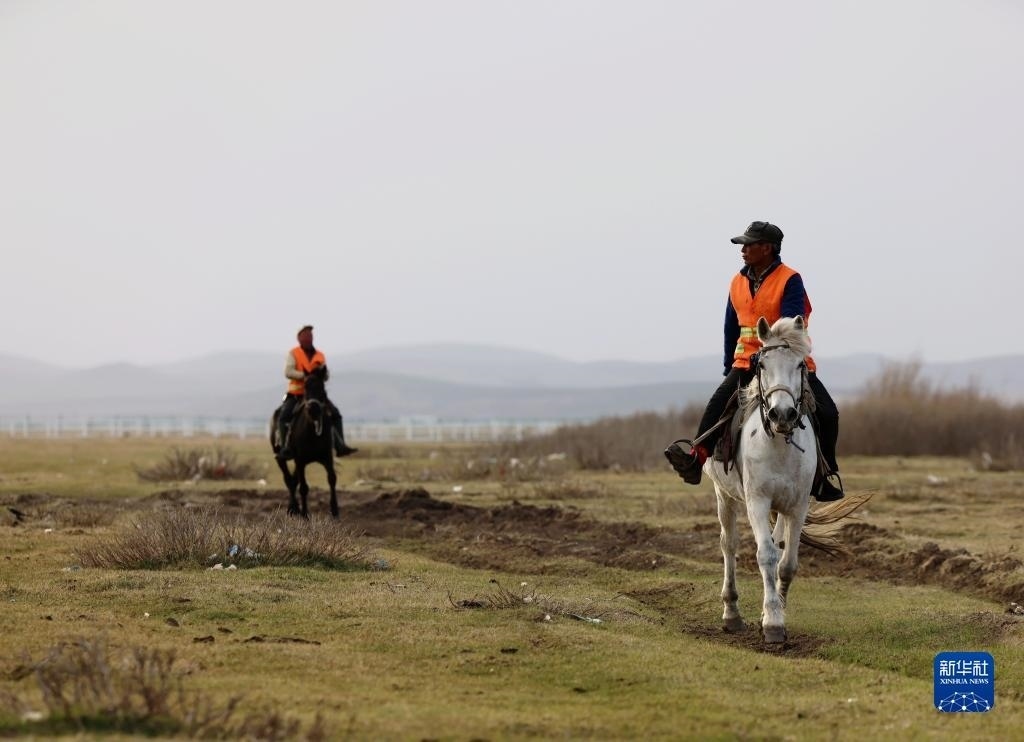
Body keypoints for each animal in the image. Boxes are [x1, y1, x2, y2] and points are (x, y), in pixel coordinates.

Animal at [269, 365, 339, 519]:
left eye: (322, 387)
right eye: (305, 387)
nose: (313, 409)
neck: (312, 432)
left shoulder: (327, 457)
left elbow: (332, 479)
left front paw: (335, 511)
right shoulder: (300, 460)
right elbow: (303, 487)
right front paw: (305, 514)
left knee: (293, 481)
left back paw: (293, 508)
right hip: (282, 457)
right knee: (289, 480)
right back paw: (294, 508)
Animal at [704, 315, 870, 645]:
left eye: (799, 365)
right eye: (762, 364)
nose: (782, 414)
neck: (779, 443)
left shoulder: (797, 505)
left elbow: (787, 562)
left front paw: (775, 613)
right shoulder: (756, 501)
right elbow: (766, 555)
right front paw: (772, 622)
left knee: (777, 542)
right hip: (724, 495)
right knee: (729, 545)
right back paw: (731, 614)